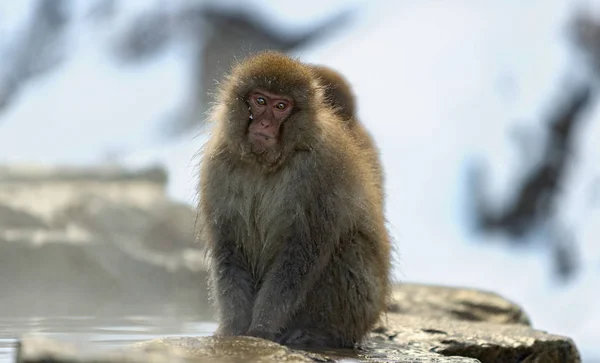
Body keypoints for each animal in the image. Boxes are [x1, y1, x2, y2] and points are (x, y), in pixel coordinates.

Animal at [198, 51, 394, 350]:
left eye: (281, 106)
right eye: (260, 100)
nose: (264, 124)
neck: (267, 164)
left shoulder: (321, 169)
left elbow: (300, 254)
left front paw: (261, 329)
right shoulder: (219, 163)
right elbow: (229, 248)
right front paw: (232, 329)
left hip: (362, 309)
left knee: (349, 246)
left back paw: (319, 333)